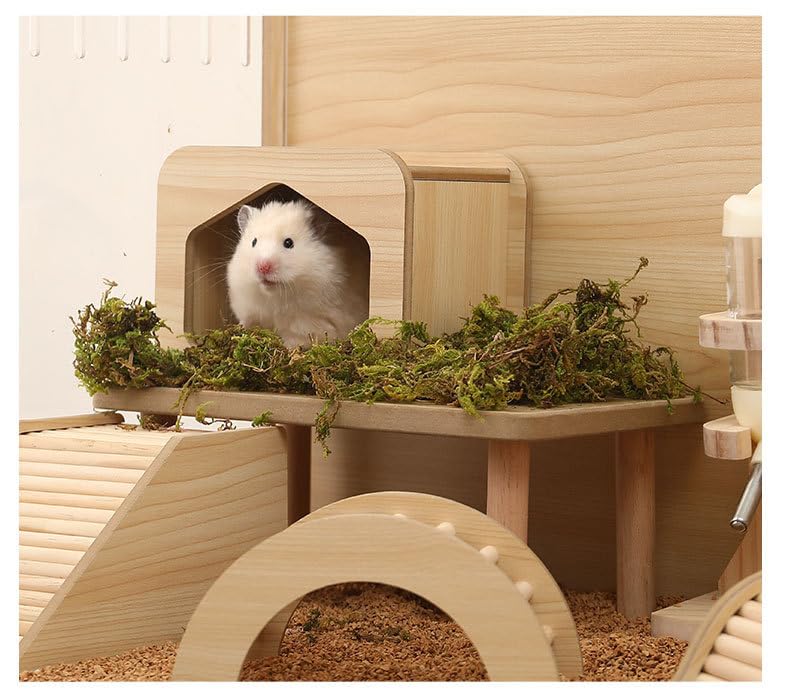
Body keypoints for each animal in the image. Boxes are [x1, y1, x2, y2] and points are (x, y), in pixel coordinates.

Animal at [226, 199, 369, 349]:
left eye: (288, 243)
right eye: (254, 242)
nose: (263, 267)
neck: (274, 297)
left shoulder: (313, 323)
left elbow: (295, 339)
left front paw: (286, 348)